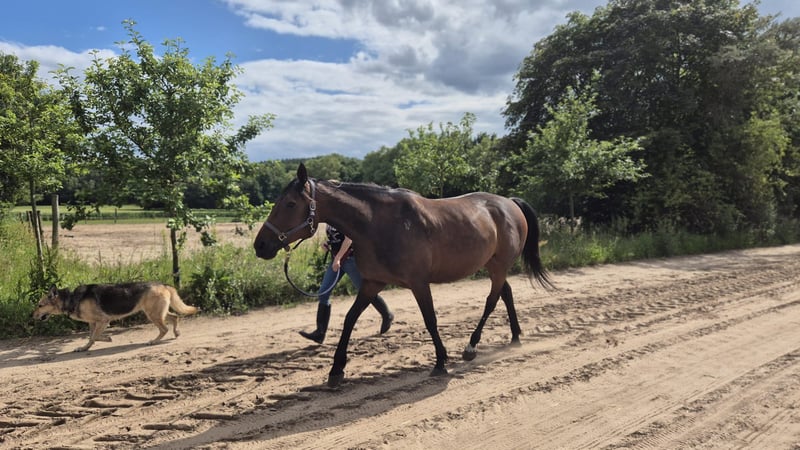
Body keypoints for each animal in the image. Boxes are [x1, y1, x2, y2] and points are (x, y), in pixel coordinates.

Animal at [33, 282, 199, 352]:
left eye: (40, 305)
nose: (32, 316)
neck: (71, 298)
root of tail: (164, 285)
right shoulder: (93, 323)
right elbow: (91, 337)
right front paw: (84, 348)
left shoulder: (103, 320)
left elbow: (94, 337)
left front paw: (107, 338)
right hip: (157, 313)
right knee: (175, 317)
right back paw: (176, 333)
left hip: (153, 315)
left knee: (164, 328)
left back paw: (153, 341)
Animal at [254, 163, 554, 388]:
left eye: (290, 203)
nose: (261, 245)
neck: (378, 224)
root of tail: (509, 203)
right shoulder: (372, 283)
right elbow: (350, 319)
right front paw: (336, 370)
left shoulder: (419, 283)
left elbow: (430, 320)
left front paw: (440, 362)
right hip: (494, 266)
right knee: (506, 294)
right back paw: (515, 337)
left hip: (499, 266)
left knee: (491, 301)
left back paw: (471, 347)